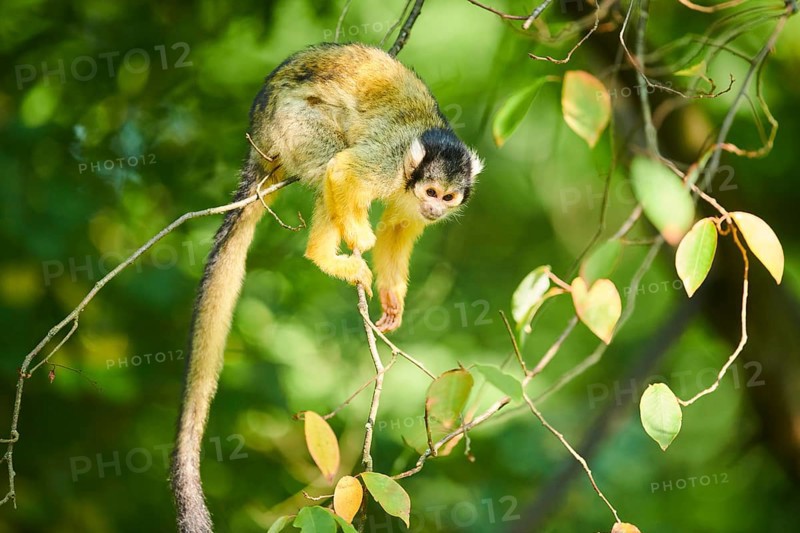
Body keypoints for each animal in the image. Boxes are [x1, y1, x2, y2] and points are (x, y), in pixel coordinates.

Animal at [170, 42, 483, 533]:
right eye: (432, 190)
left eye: (447, 198)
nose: (435, 207)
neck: (410, 175)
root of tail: (257, 127)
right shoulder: (389, 161)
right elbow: (344, 171)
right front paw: (357, 235)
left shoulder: (406, 196)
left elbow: (398, 228)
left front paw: (393, 299)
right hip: (291, 125)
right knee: (332, 156)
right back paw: (327, 255)